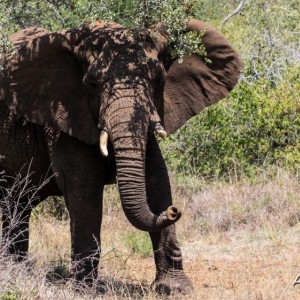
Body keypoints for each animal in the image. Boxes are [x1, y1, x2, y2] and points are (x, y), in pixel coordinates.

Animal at [0, 18, 241, 292]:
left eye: (158, 79)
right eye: (93, 84)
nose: (174, 211)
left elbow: (157, 180)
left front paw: (174, 288)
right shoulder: (62, 118)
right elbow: (84, 188)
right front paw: (85, 291)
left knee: (17, 205)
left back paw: (17, 270)